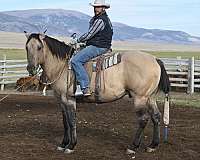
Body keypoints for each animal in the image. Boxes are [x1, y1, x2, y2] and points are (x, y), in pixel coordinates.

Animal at [23, 32, 170, 155]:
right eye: (26, 47)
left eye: (39, 47)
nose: (31, 68)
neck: (62, 66)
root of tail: (155, 59)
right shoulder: (61, 100)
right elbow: (65, 121)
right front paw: (63, 144)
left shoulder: (69, 99)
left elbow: (71, 121)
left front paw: (71, 146)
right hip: (150, 97)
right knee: (156, 117)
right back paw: (152, 145)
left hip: (140, 97)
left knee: (143, 119)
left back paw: (133, 147)